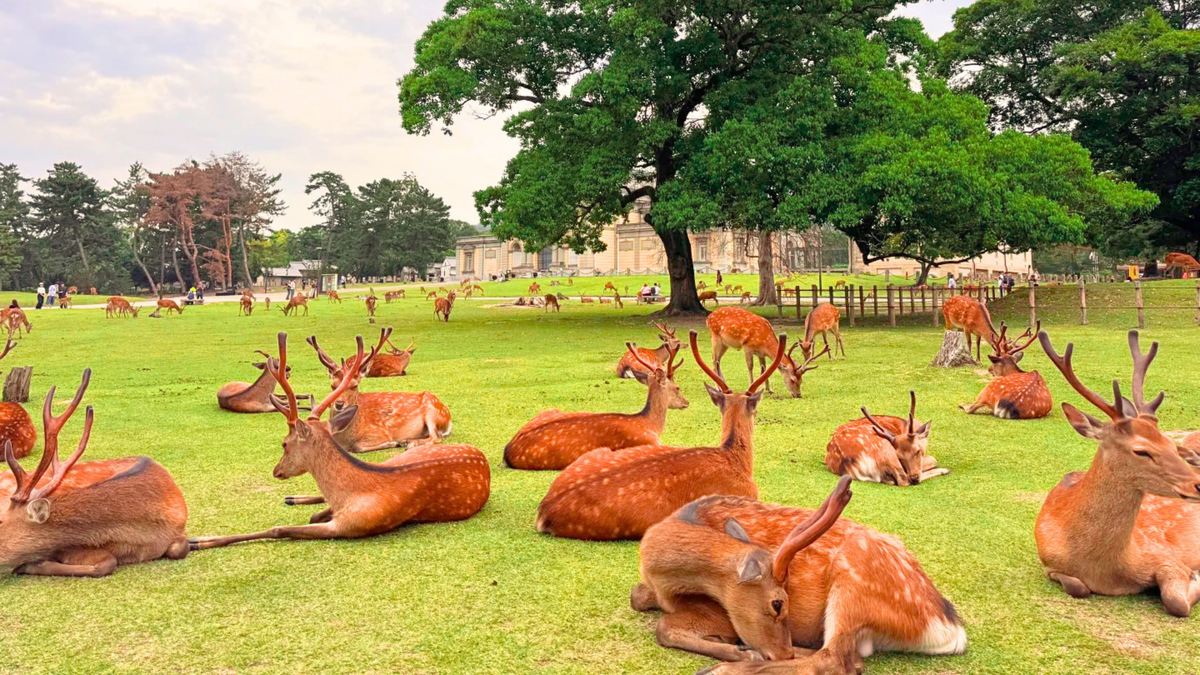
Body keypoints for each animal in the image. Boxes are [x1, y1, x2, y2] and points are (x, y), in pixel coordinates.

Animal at [308, 329, 452, 452]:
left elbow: (358, 446)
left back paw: (409, 443)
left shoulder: (380, 431)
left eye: (354, 386)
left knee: (436, 437)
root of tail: (449, 418)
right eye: (333, 386)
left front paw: (393, 443)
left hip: (432, 411)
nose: (338, 404)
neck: (344, 438)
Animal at [634, 476, 966, 673]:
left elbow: (663, 626)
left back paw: (723, 668)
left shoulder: (720, 611)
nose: (780, 652)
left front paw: (739, 652)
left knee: (837, 659)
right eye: (778, 604)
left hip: (853, 579)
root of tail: (948, 628)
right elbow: (636, 597)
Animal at [1033, 329, 1200, 617]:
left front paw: (1195, 577)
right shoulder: (1049, 564)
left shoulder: (1166, 555)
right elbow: (1078, 587)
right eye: (1141, 451)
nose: (1197, 484)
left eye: (1170, 443)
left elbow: (1176, 602)